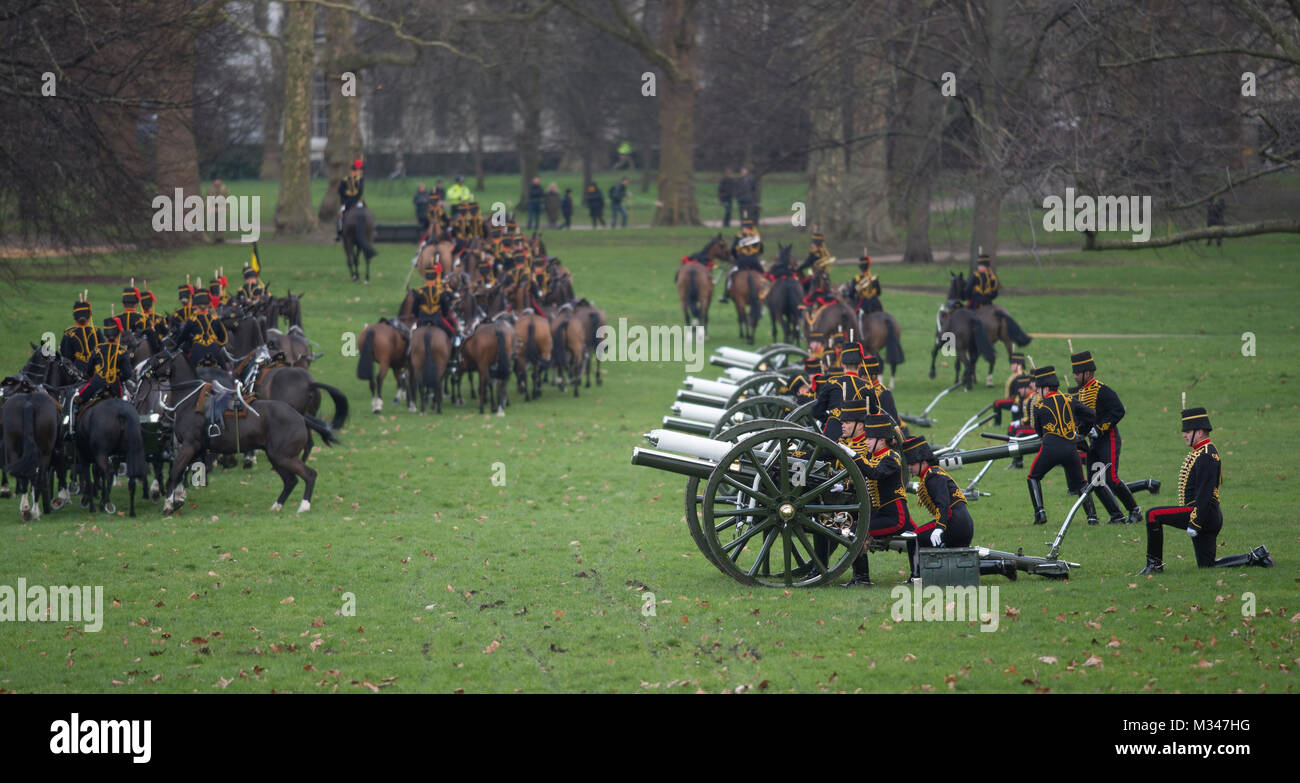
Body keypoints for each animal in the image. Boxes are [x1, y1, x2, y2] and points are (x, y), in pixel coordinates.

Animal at [141, 348, 340, 512]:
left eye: (159, 358)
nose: (142, 372)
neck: (191, 400)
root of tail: (300, 416)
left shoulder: (189, 446)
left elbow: (175, 472)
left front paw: (168, 504)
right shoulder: (195, 449)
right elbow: (182, 473)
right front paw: (178, 500)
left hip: (284, 456)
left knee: (309, 475)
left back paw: (304, 506)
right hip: (277, 457)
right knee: (291, 481)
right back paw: (277, 505)